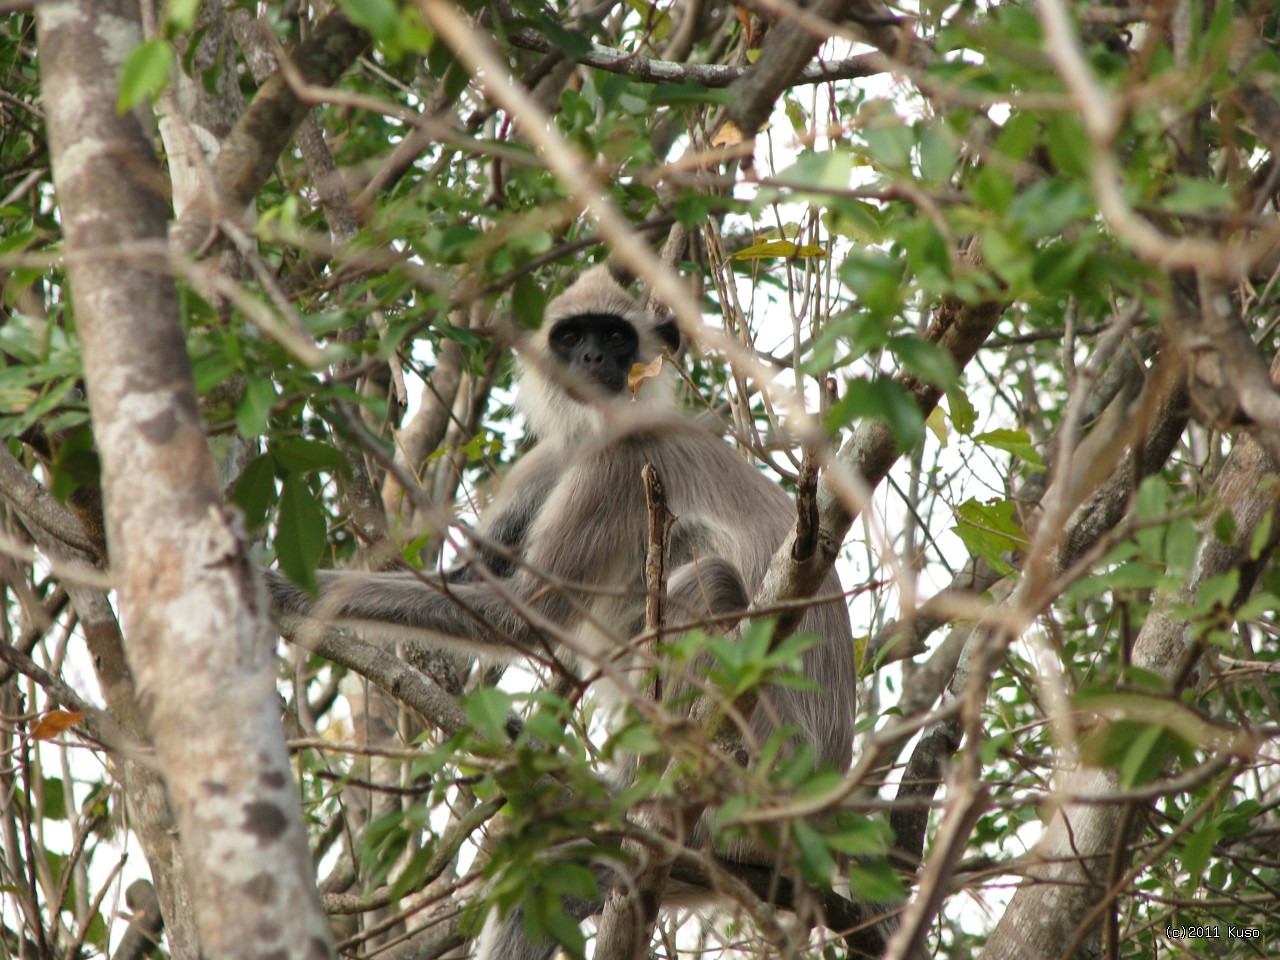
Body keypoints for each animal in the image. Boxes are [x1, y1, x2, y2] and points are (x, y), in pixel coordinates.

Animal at [264, 264, 855, 960]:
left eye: (615, 337)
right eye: (572, 337)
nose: (594, 359)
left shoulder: (619, 460)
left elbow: (520, 613)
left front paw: (278, 586)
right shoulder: (550, 462)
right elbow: (473, 585)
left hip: (767, 767)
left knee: (708, 578)